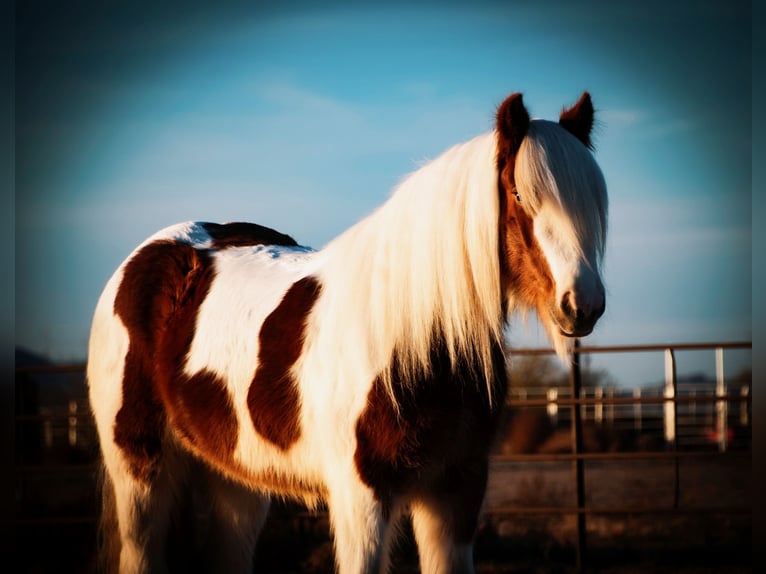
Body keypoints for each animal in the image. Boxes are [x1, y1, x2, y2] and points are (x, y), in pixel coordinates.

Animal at [85, 92, 612, 572]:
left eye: (593, 204)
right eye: (521, 195)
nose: (582, 304)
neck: (415, 341)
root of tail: (152, 254)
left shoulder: (457, 490)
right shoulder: (363, 495)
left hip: (236, 481)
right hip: (139, 467)